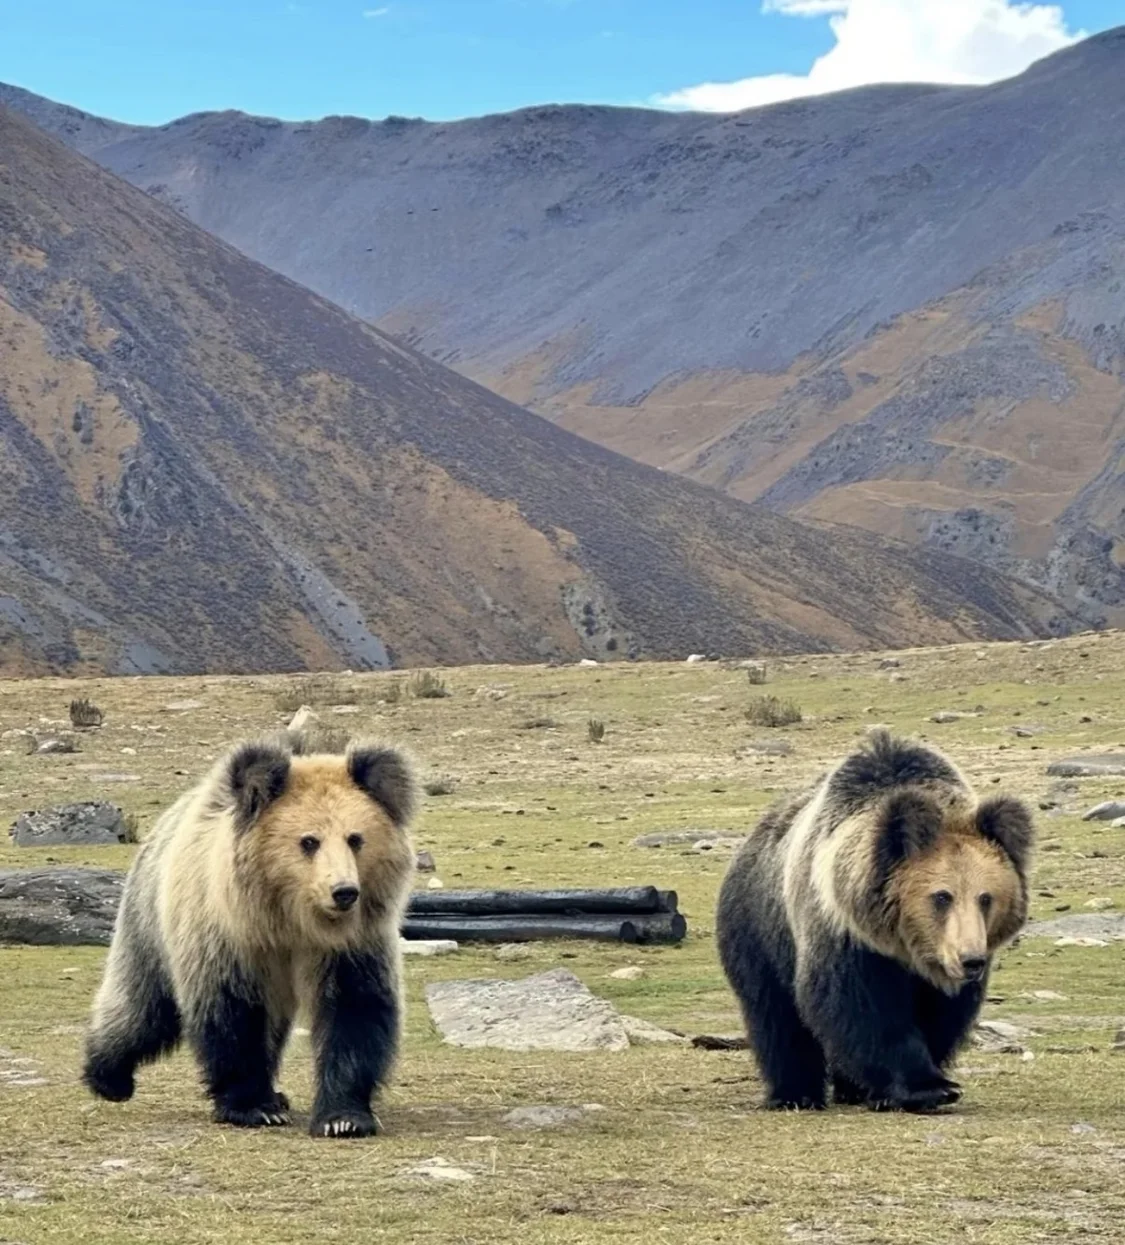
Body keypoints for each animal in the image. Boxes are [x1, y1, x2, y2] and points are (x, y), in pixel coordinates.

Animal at [82, 734, 417, 1138]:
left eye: (355, 838)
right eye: (309, 841)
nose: (344, 891)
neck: (291, 921)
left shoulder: (352, 946)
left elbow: (355, 1009)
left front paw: (343, 1118)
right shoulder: (229, 937)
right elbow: (232, 1014)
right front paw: (253, 1107)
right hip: (150, 918)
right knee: (143, 1007)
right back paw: (108, 1076)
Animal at [716, 729, 1034, 1113]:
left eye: (986, 897)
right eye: (942, 896)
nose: (971, 960)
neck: (906, 947)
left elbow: (941, 1015)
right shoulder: (845, 934)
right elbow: (863, 1009)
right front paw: (924, 1087)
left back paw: (851, 1089)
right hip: (760, 928)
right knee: (776, 1017)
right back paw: (795, 1094)